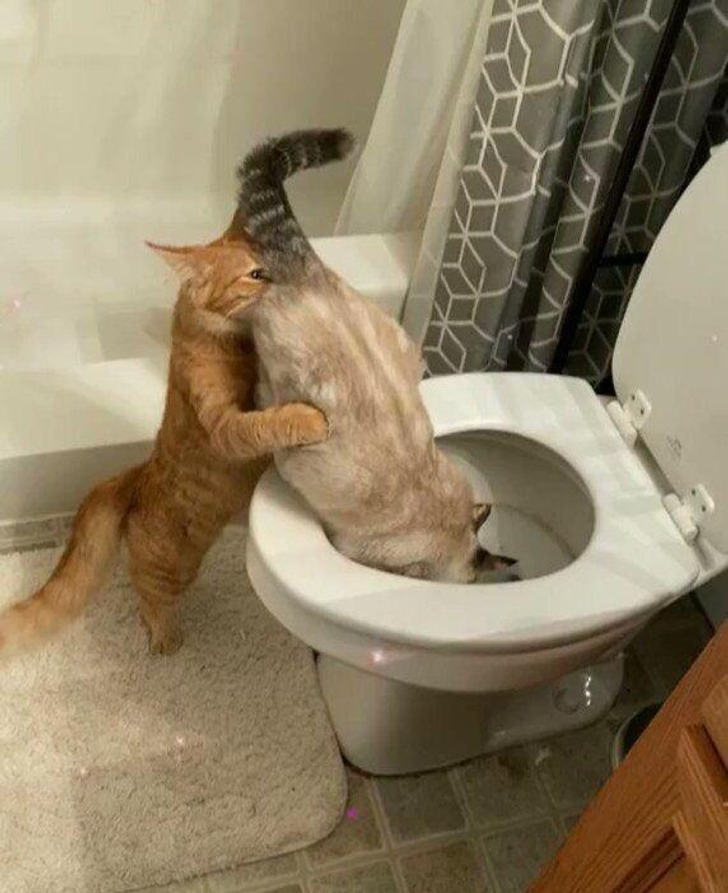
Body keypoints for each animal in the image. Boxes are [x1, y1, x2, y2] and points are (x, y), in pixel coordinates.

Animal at [0, 237, 328, 656]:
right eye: (256, 273)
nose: (291, 275)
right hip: (171, 566)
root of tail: (135, 477)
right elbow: (265, 422)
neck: (226, 342)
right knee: (147, 594)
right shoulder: (225, 425)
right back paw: (164, 636)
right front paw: (310, 417)